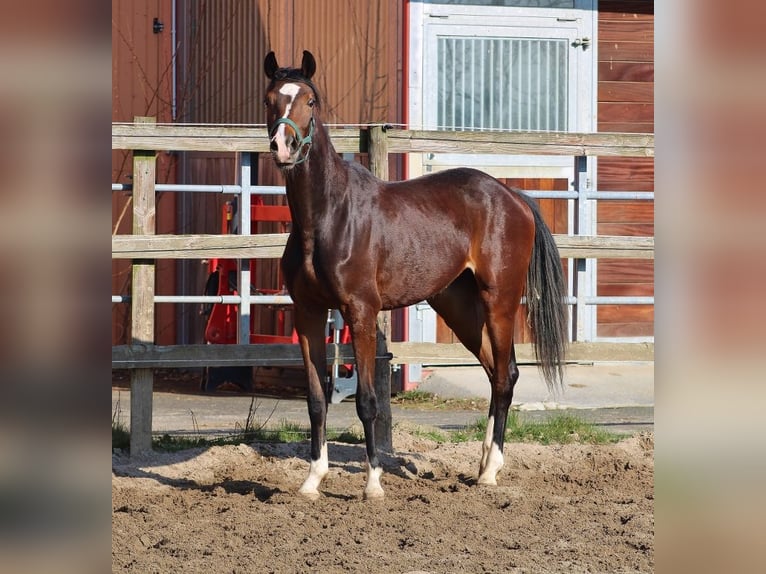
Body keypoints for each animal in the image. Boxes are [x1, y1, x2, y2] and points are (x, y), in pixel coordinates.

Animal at [264, 50, 568, 500]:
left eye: (310, 101)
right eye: (271, 99)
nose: (283, 147)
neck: (327, 217)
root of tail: (513, 195)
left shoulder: (361, 312)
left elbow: (367, 401)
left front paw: (373, 484)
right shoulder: (308, 314)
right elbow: (316, 400)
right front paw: (312, 480)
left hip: (500, 300)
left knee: (505, 376)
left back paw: (491, 471)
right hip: (458, 306)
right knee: (495, 372)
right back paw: (481, 466)